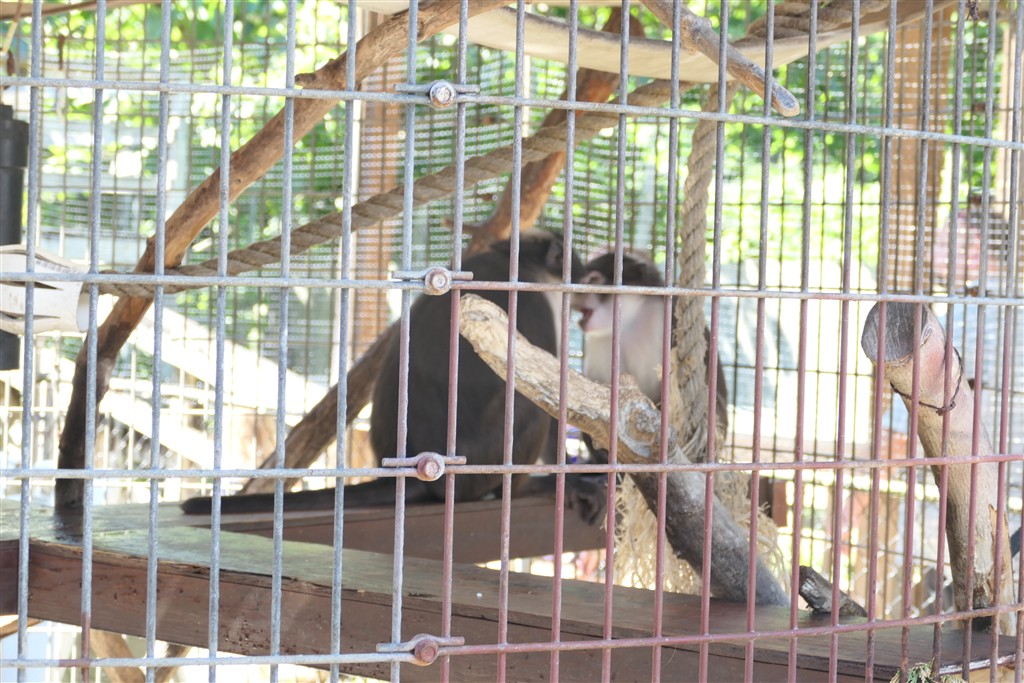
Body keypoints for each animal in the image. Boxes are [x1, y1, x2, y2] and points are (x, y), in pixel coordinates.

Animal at [181, 231, 588, 515]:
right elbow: (546, 395)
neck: (513, 261)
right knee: (527, 408)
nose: (587, 279)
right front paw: (569, 480)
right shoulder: (535, 305)